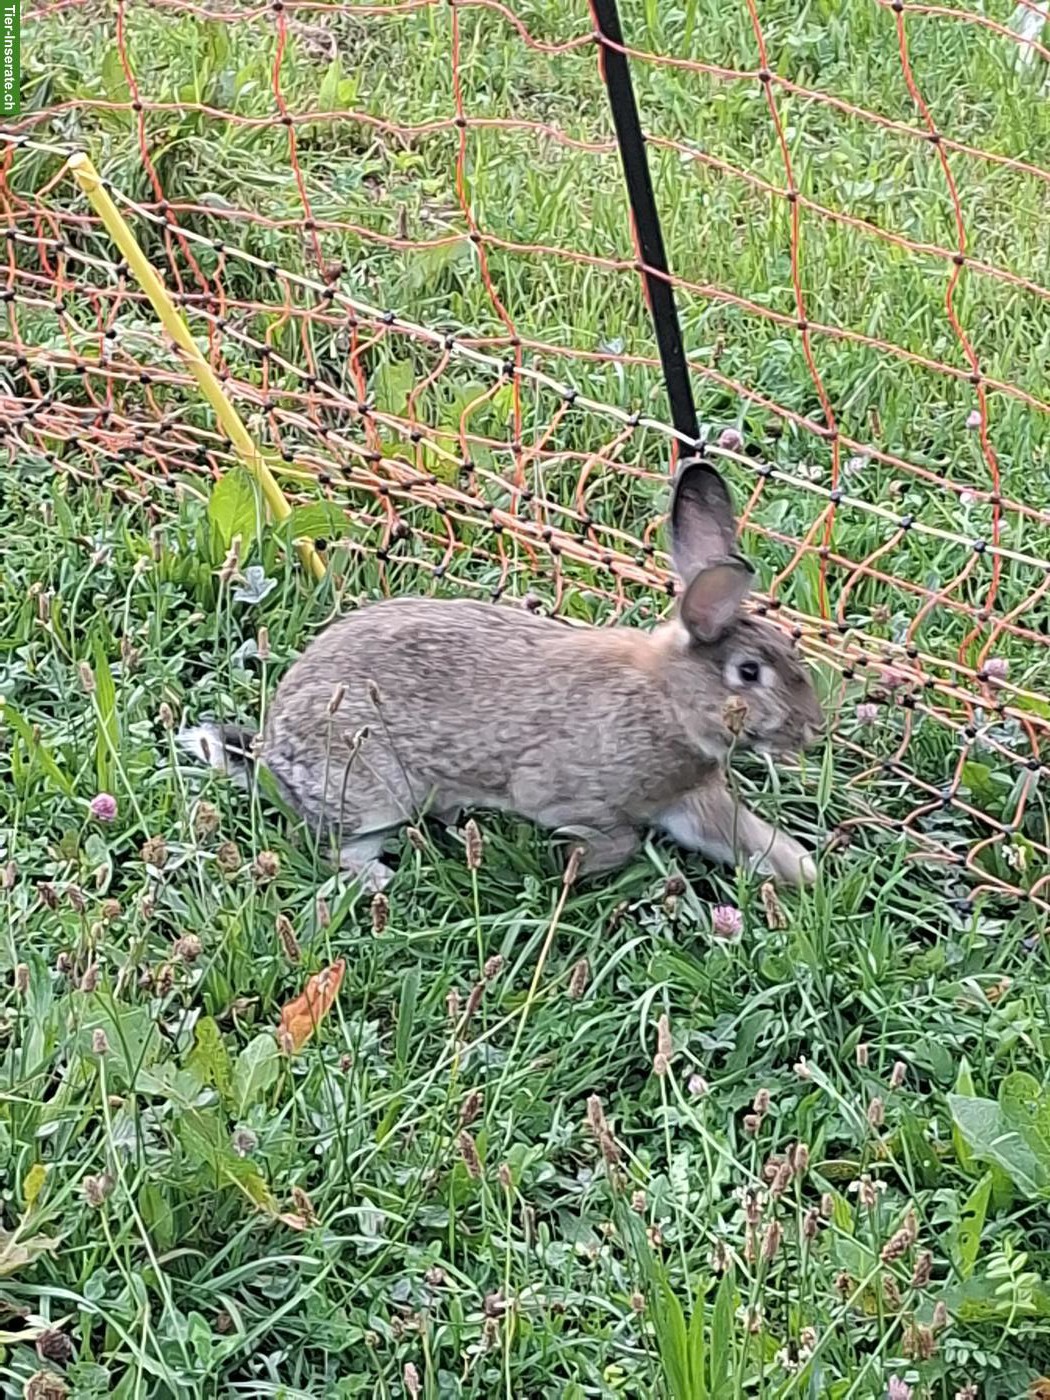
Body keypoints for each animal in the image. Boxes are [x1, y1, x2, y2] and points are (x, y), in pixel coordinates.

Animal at [179, 459, 824, 893]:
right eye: (749, 672)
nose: (813, 729)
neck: (668, 697)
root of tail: (272, 750)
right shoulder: (569, 795)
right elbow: (615, 841)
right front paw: (573, 865)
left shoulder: (688, 799)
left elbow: (740, 835)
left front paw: (802, 872)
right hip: (372, 787)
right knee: (334, 845)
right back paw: (382, 877)